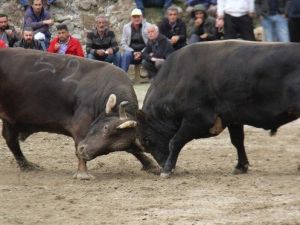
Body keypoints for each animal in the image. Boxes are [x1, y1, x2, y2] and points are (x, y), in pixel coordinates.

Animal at [0, 48, 158, 179]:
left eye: (113, 148)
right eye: (106, 128)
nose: (84, 151)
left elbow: (134, 150)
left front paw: (150, 165)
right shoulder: (80, 123)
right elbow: (79, 138)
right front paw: (83, 173)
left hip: (10, 121)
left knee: (11, 140)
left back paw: (26, 165)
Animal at [137, 40, 300, 178]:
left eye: (147, 139)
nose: (161, 164)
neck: (178, 80)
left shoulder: (198, 119)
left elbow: (175, 141)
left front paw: (166, 170)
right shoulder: (233, 117)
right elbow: (237, 141)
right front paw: (241, 166)